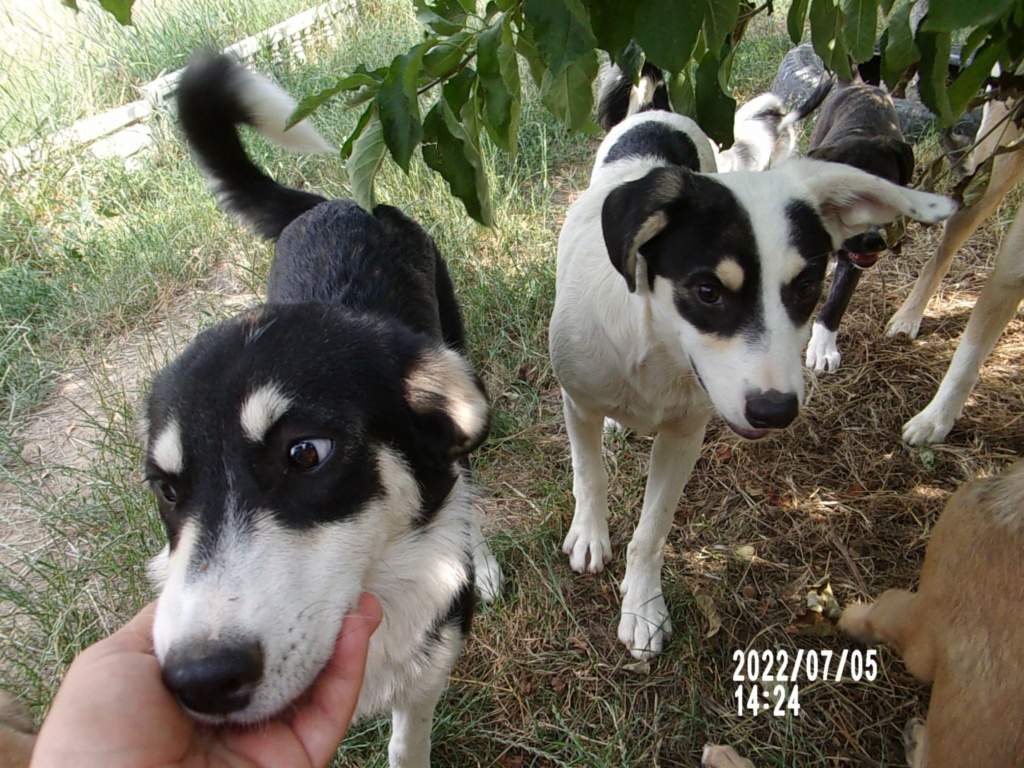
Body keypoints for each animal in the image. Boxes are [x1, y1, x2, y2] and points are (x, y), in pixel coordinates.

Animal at [143, 51, 499, 765]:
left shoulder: (429, 665)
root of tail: (338, 202)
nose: (199, 680)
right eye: (167, 489)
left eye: (305, 453)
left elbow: (407, 744)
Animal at [548, 108, 954, 663]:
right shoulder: (578, 401)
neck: (655, 345)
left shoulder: (685, 435)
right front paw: (590, 534)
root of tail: (659, 112)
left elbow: (653, 531)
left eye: (806, 287)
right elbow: (590, 476)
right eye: (707, 291)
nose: (775, 411)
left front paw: (643, 605)